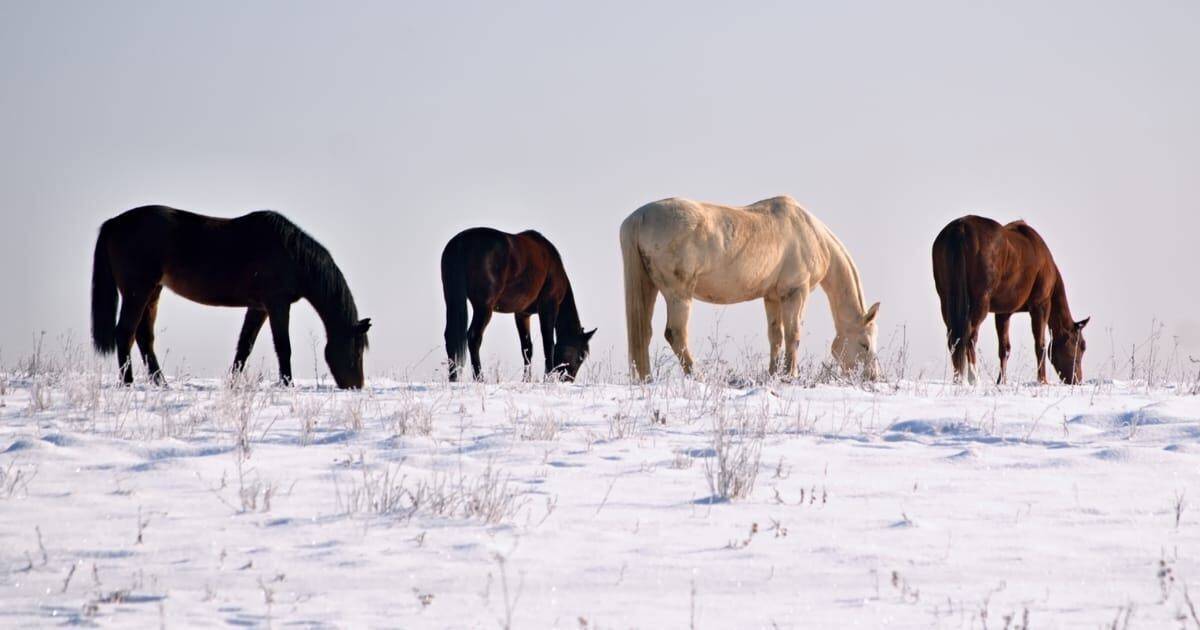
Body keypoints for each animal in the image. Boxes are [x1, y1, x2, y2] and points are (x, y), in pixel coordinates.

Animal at [91, 205, 371, 389]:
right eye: (357, 350)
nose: (356, 386)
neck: (292, 255)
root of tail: (114, 222)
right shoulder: (277, 304)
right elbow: (283, 346)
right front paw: (287, 384)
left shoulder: (259, 307)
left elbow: (244, 347)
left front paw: (232, 383)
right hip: (137, 290)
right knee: (125, 333)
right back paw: (127, 383)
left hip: (153, 292)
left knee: (144, 337)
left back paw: (160, 383)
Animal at [441, 227, 595, 382]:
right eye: (581, 356)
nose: (568, 380)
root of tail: (462, 241)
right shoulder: (548, 307)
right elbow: (548, 344)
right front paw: (547, 378)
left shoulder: (522, 314)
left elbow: (527, 348)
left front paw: (526, 380)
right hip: (484, 308)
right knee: (474, 337)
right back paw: (479, 378)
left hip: (452, 300)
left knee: (450, 337)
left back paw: (453, 378)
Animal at [619, 196, 881, 381]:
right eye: (865, 344)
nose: (872, 377)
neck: (811, 234)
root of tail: (640, 216)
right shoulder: (796, 292)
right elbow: (793, 334)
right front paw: (790, 375)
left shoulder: (772, 297)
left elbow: (776, 337)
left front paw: (773, 374)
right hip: (678, 295)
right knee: (675, 333)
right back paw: (697, 376)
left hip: (649, 287)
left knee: (644, 334)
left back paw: (647, 380)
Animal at [931, 215, 1089, 385]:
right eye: (1081, 346)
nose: (1077, 380)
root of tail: (960, 228)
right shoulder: (1040, 305)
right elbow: (1040, 344)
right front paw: (1042, 381)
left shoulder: (1003, 313)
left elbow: (1004, 348)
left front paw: (1001, 381)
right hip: (980, 303)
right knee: (970, 336)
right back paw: (974, 378)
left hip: (946, 300)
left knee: (954, 338)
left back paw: (958, 378)